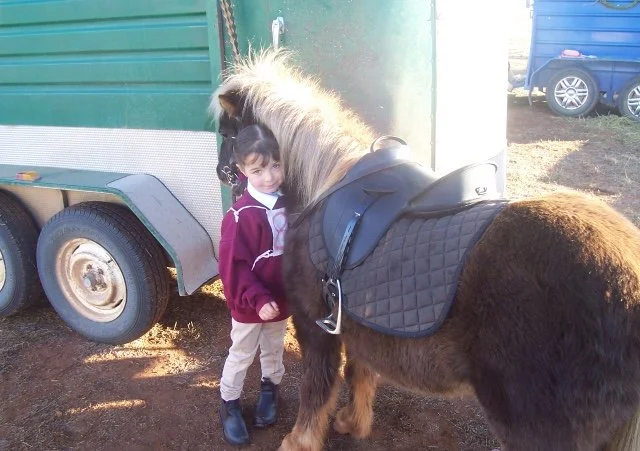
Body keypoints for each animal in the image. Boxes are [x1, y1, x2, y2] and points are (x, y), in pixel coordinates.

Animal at [211, 50, 640, 451]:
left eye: (227, 131)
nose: (221, 173)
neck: (325, 186)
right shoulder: (358, 321)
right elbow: (359, 373)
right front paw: (353, 422)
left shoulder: (313, 322)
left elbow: (317, 384)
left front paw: (299, 440)